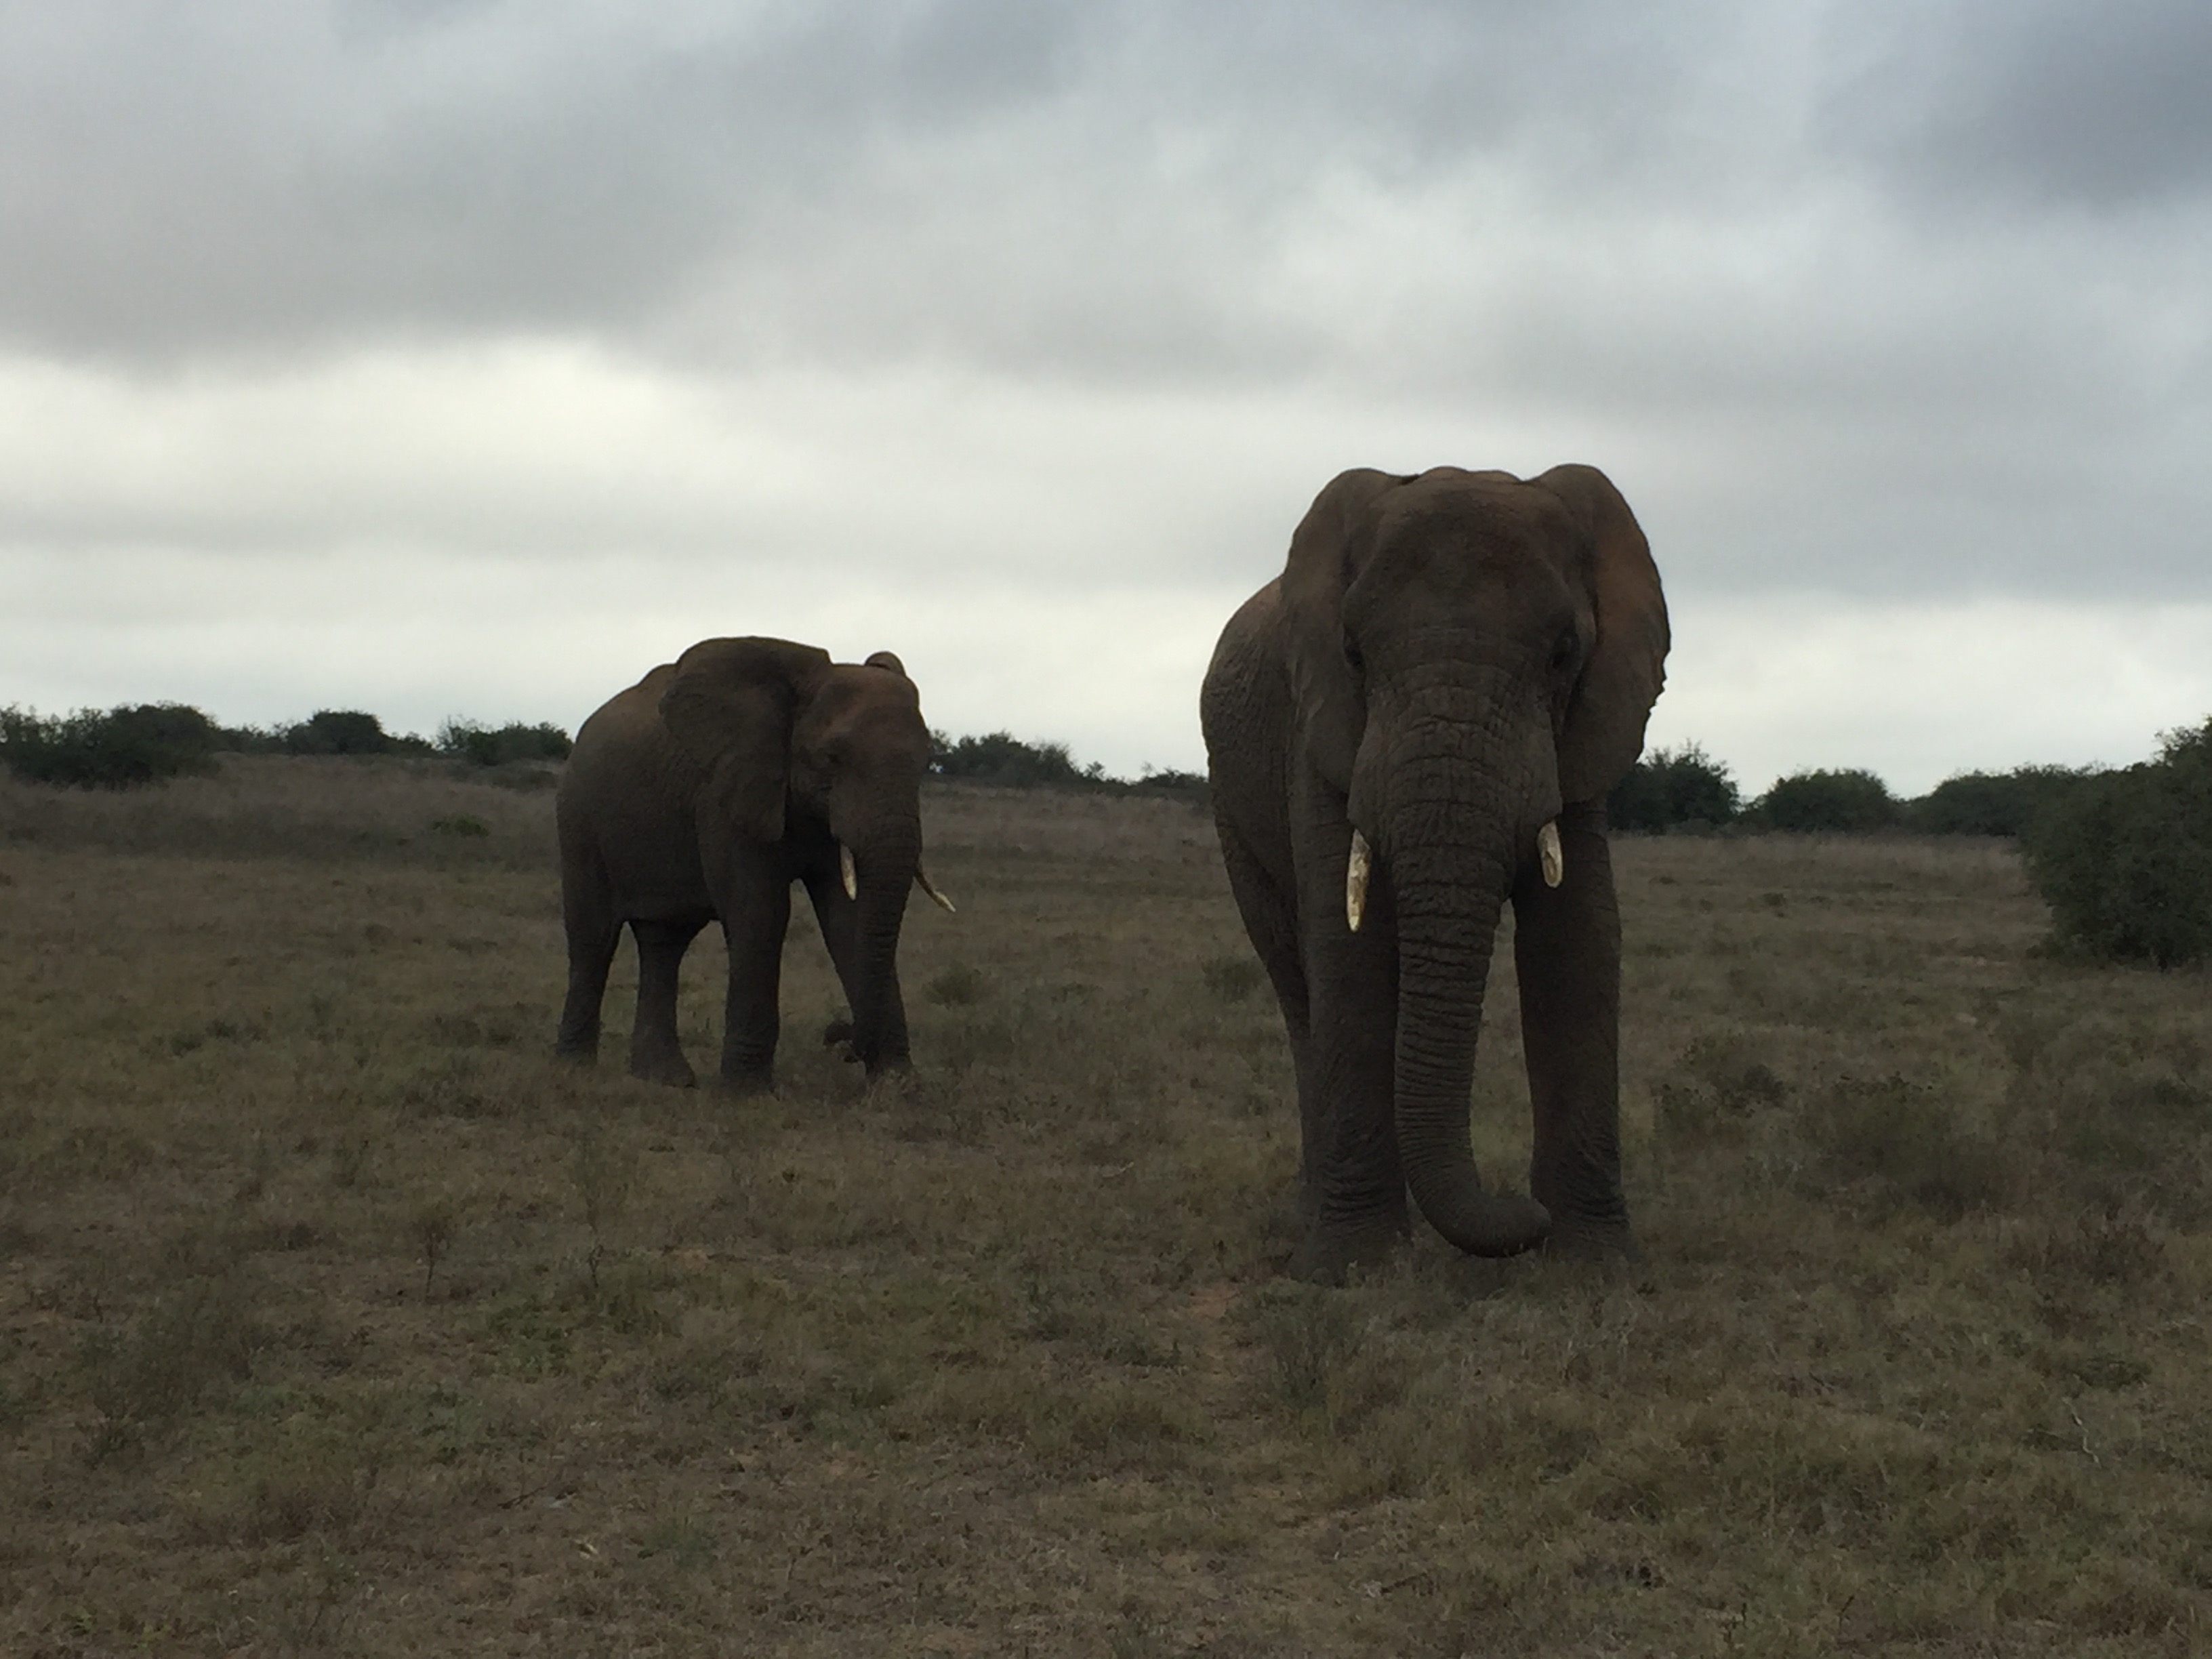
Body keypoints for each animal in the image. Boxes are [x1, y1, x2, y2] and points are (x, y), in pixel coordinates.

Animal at [555, 636, 953, 1092]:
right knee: (593, 938)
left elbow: (847, 918)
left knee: (664, 943)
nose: (839, 1038)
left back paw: (666, 1078)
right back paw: (575, 1069)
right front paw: (747, 1094)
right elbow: (760, 912)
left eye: (926, 763)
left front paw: (898, 1086)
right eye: (832, 758)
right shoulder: (724, 794)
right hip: (578, 816)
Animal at [1200, 465, 1668, 1282]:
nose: (1525, 1216)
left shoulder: (1584, 732)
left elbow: (1577, 938)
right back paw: (1309, 1215)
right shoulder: (1317, 730)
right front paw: (1351, 1272)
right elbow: (1345, 945)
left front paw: (1597, 1268)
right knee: (1295, 982)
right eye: (1353, 653)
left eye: (1564, 654)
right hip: (1231, 803)